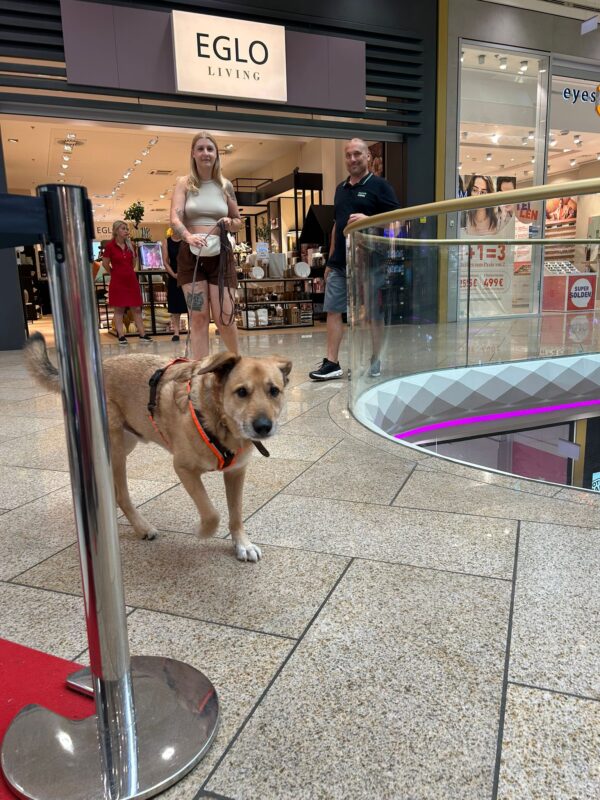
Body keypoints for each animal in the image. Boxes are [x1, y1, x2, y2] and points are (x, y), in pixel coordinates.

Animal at [24, 333, 291, 562]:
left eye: (274, 391)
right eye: (242, 392)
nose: (264, 427)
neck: (218, 419)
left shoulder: (236, 473)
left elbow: (236, 513)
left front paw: (242, 544)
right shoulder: (184, 469)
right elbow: (212, 513)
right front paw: (203, 531)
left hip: (128, 440)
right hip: (116, 448)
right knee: (121, 494)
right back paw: (141, 526)